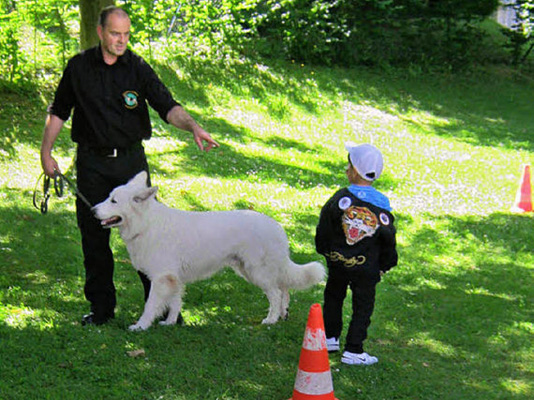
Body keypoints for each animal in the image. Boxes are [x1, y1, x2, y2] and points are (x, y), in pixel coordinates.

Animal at [93, 172, 326, 332]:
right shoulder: (174, 279)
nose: (92, 210)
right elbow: (175, 303)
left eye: (113, 201)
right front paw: (170, 323)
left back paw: (271, 319)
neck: (146, 224)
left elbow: (151, 306)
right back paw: (282, 315)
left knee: (276, 294)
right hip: (252, 271)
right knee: (284, 289)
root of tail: (278, 227)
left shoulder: (161, 279)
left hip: (257, 272)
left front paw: (140, 326)